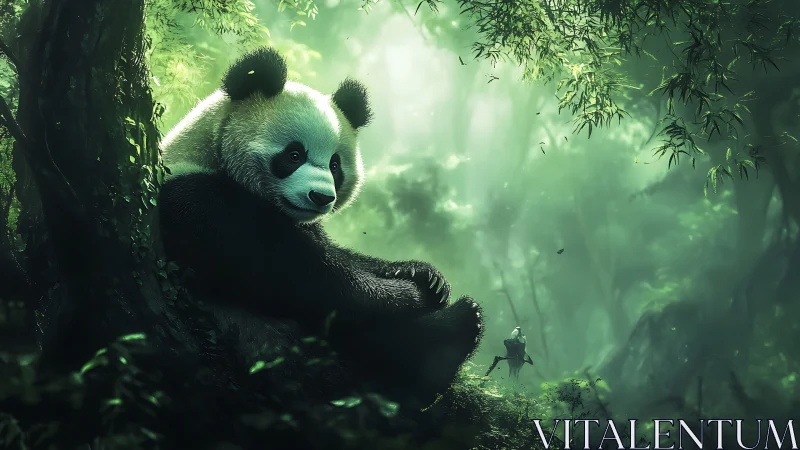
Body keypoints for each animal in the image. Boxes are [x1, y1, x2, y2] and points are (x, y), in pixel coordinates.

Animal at [156, 47, 484, 407]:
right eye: (294, 154)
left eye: (335, 165)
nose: (321, 197)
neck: (209, 150)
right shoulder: (203, 203)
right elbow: (307, 279)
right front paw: (413, 295)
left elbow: (337, 255)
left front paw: (423, 275)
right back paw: (453, 333)